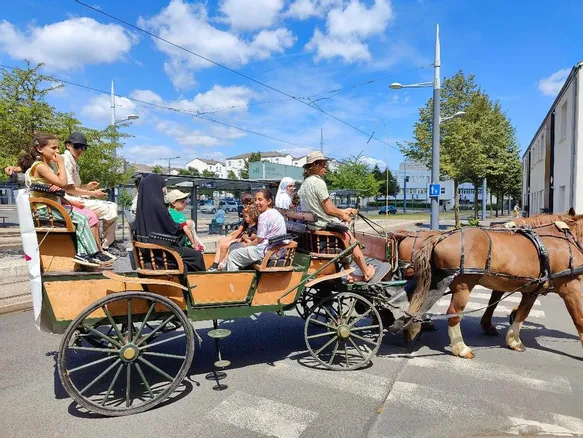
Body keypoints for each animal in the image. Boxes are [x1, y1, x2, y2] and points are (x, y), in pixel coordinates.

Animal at [406, 214, 583, 358]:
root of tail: (440, 237)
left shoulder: (532, 290)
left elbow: (523, 313)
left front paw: (513, 340)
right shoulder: (570, 287)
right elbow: (579, 318)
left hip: (436, 281)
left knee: (419, 305)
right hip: (464, 284)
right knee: (454, 313)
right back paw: (461, 348)